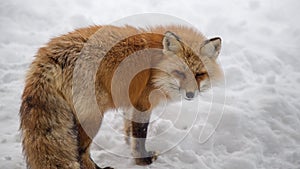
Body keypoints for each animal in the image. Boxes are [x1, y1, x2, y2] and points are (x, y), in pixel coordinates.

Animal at [19, 24, 223, 168]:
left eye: (199, 74)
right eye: (180, 73)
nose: (190, 94)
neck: (155, 67)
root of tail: (50, 56)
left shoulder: (131, 100)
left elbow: (129, 128)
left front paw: (127, 142)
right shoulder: (143, 103)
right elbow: (140, 134)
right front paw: (143, 160)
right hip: (94, 116)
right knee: (80, 152)